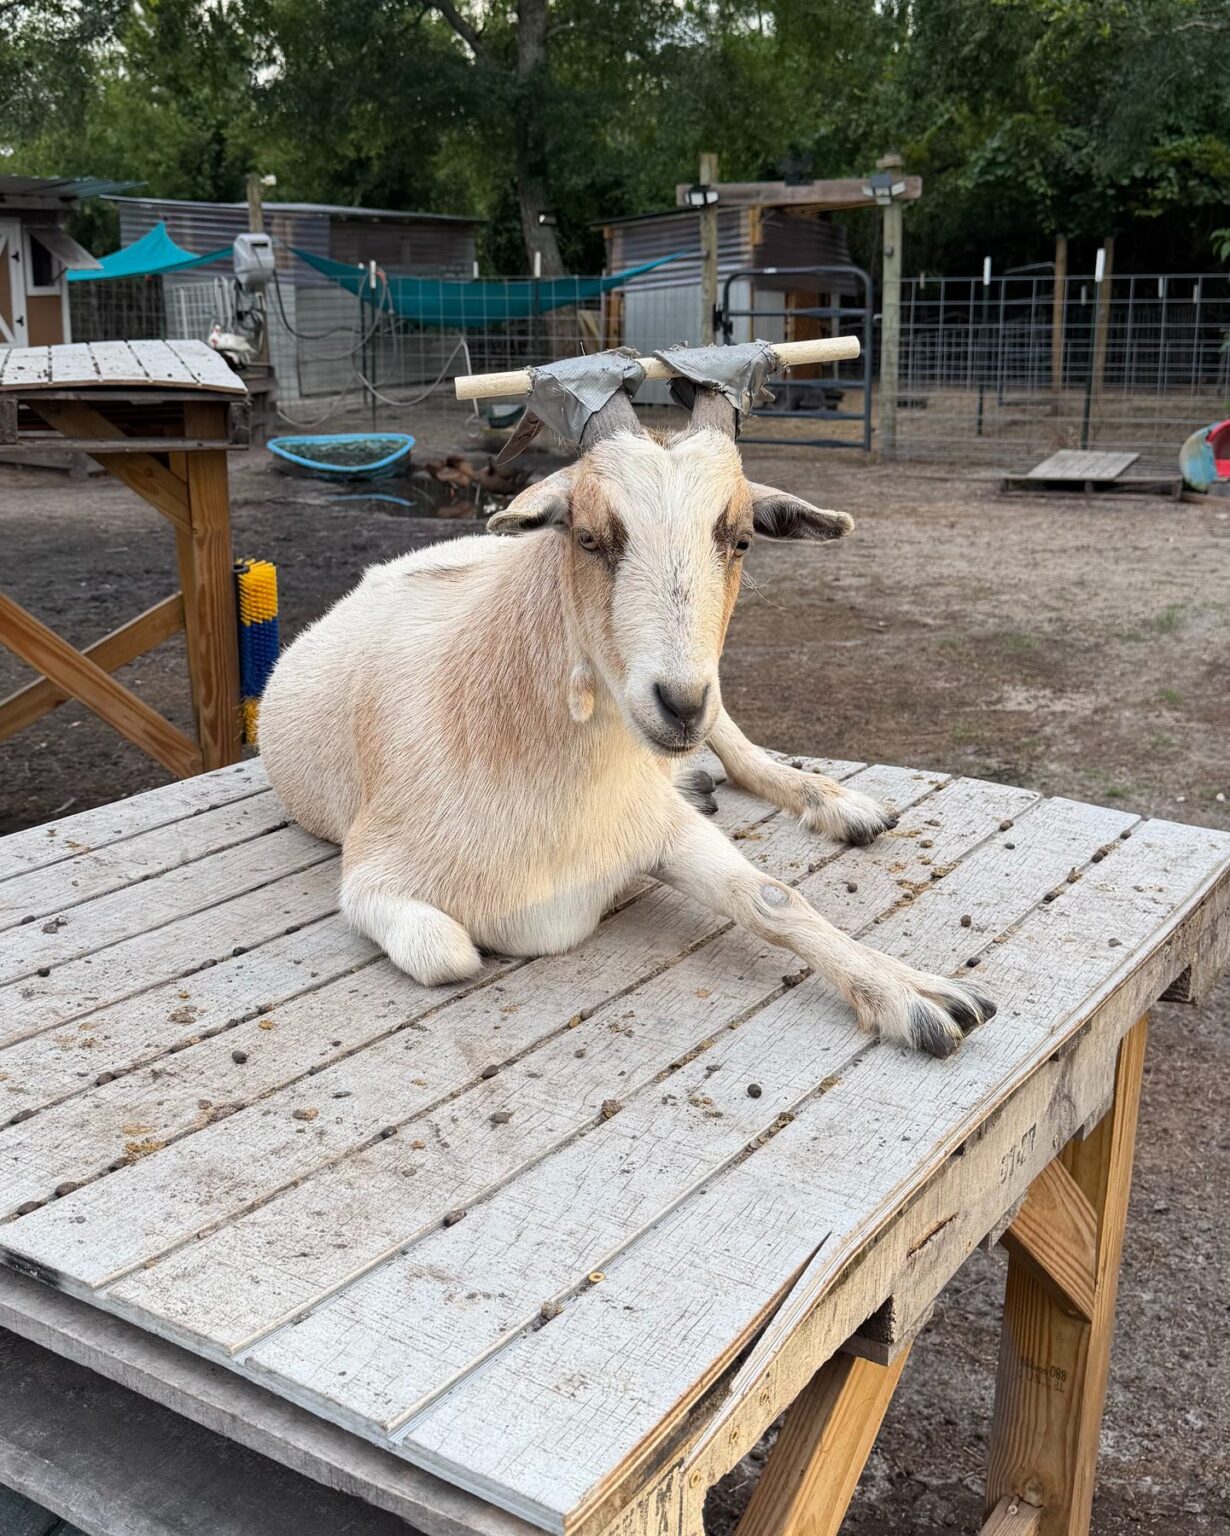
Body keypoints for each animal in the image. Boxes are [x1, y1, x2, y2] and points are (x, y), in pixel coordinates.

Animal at [259, 383, 994, 1057]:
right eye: (587, 537)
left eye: (742, 539)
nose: (679, 704)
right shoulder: (370, 876)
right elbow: (449, 952)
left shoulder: (657, 824)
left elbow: (771, 896)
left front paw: (916, 995)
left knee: (735, 744)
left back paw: (841, 805)